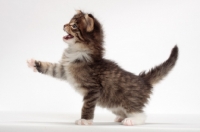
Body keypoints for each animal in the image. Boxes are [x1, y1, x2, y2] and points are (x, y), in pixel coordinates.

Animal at [26, 10, 178, 126]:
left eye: (73, 26)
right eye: (69, 22)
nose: (64, 25)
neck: (77, 51)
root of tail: (143, 80)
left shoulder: (93, 89)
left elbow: (87, 106)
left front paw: (85, 120)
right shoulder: (65, 70)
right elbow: (51, 68)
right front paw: (34, 63)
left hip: (128, 102)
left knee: (142, 115)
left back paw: (131, 121)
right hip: (113, 105)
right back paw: (122, 117)